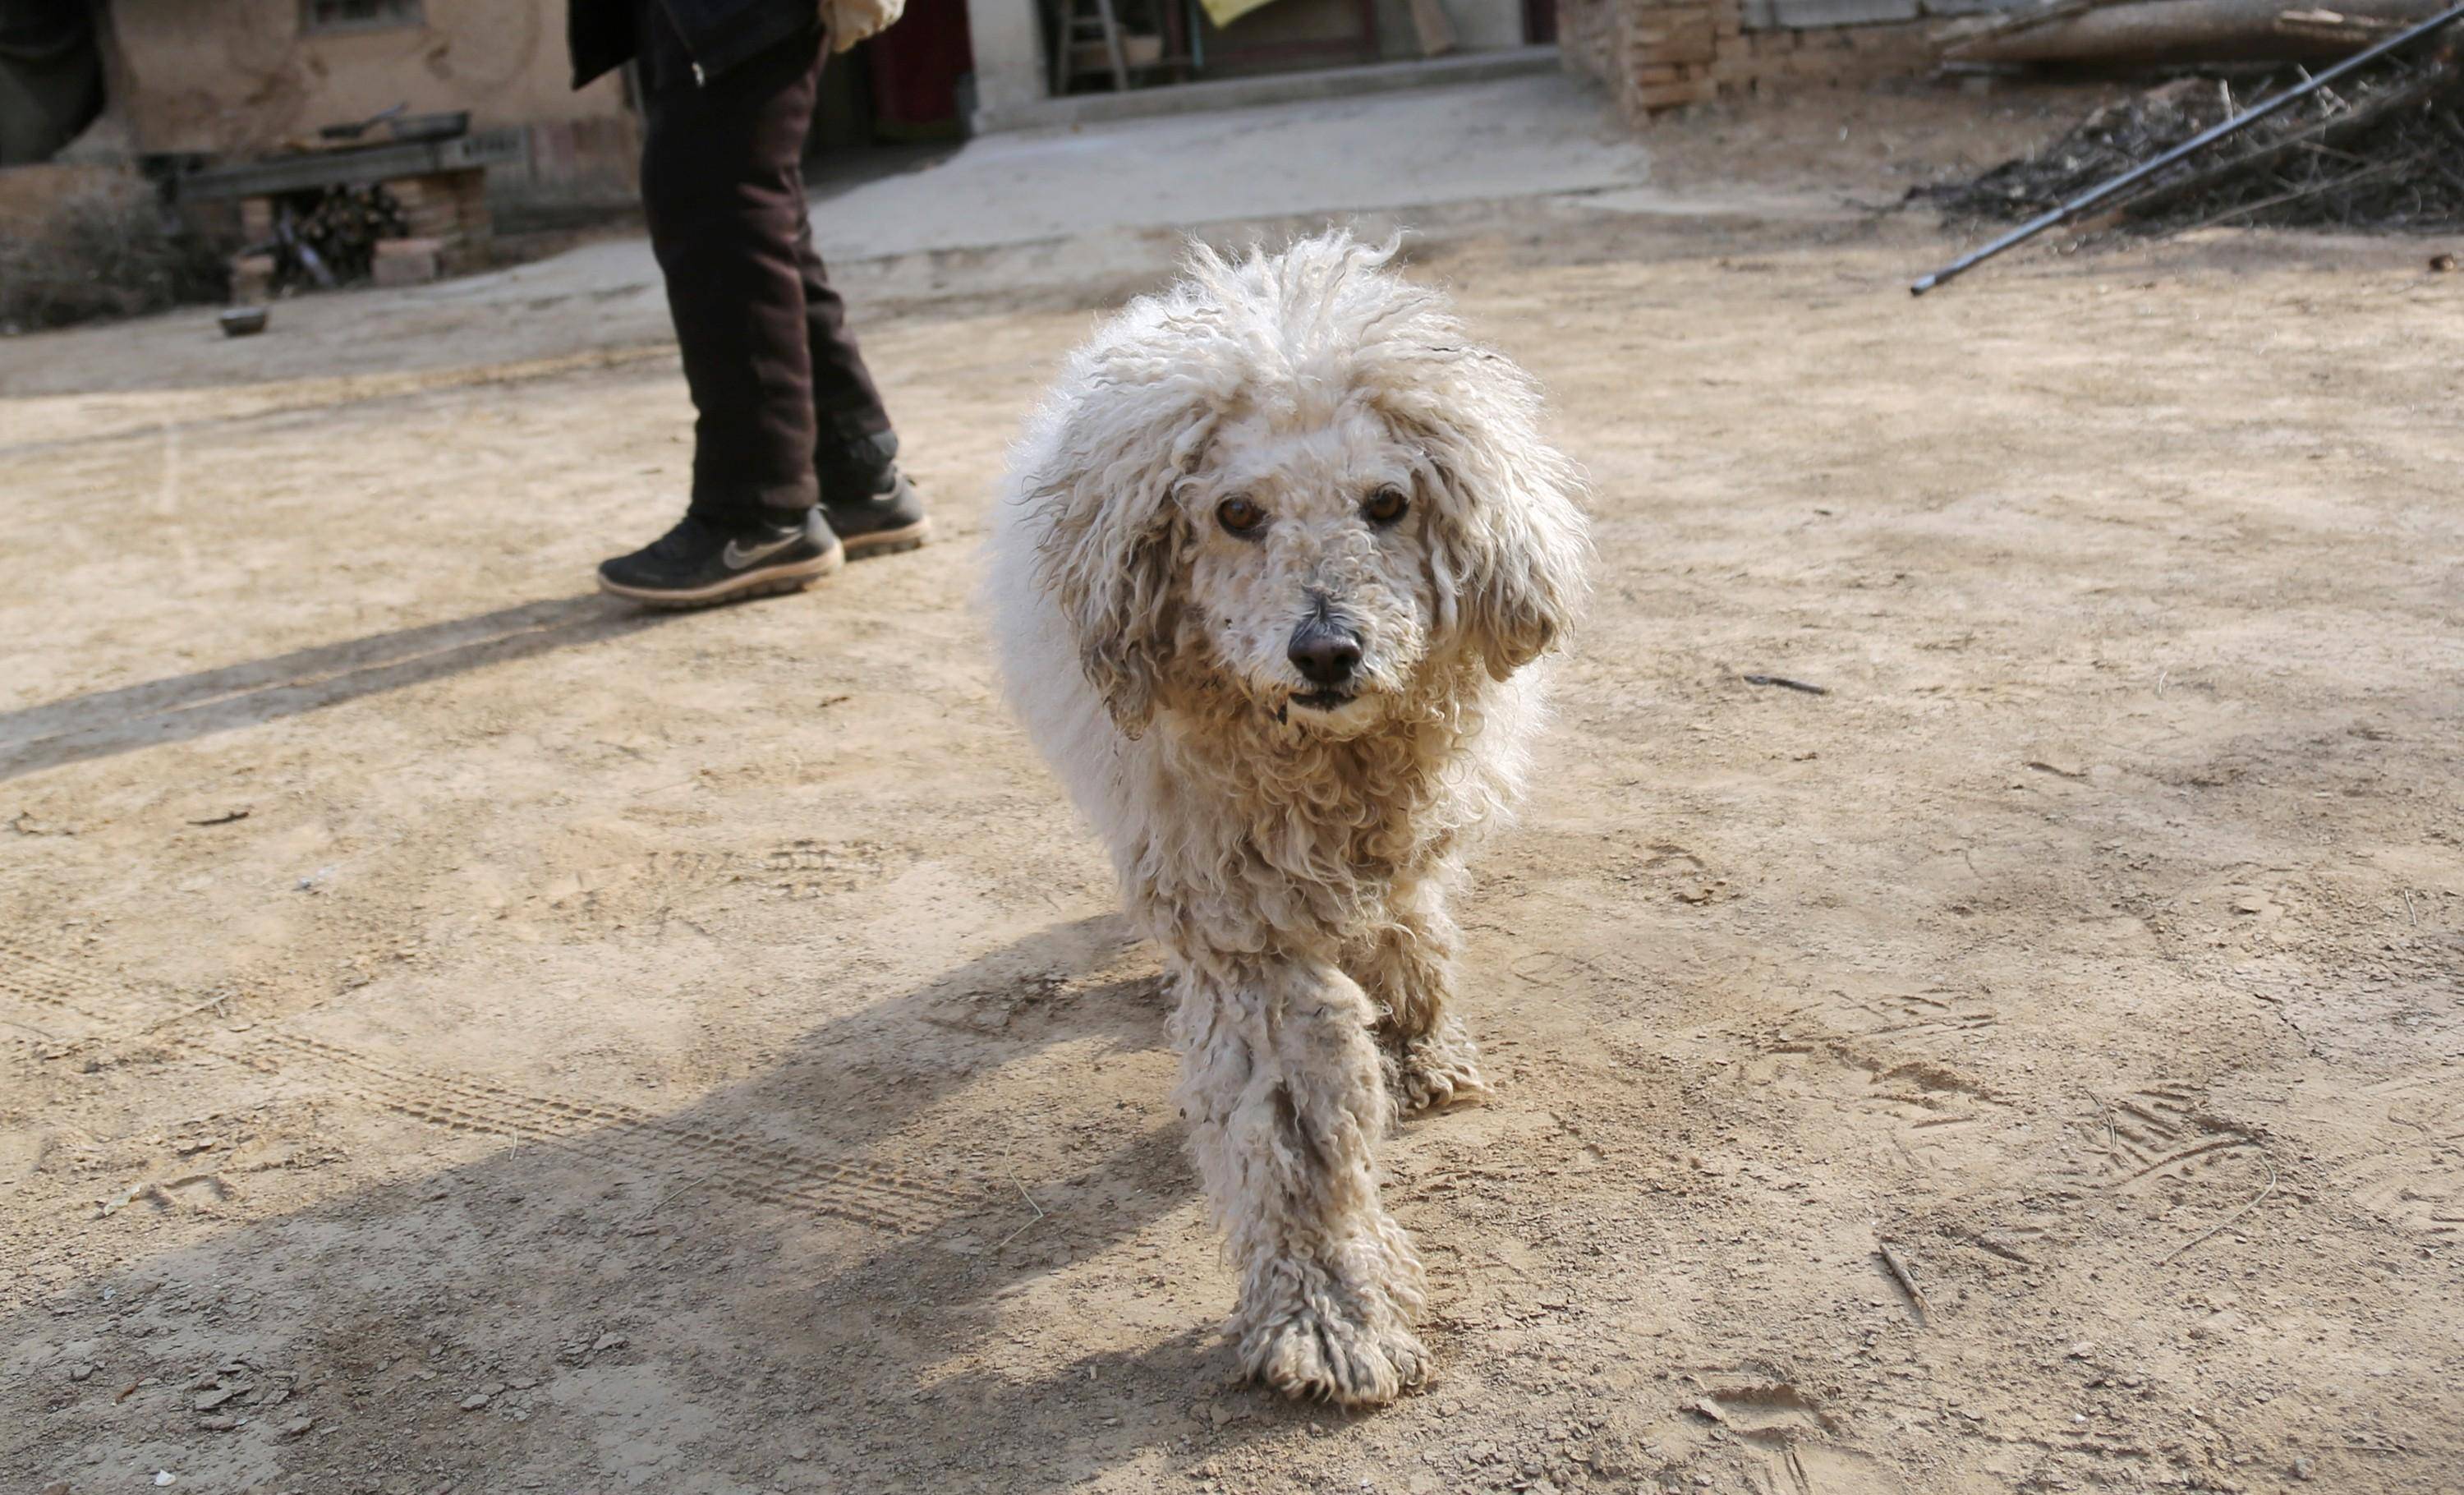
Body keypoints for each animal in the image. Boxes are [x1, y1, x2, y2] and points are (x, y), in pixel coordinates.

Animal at [986, 231, 1597, 1399]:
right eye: (1235, 513)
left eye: (1387, 502)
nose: (1326, 651)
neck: (1324, 762)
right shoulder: (1243, 923)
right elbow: (1296, 1132)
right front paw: (1329, 1311)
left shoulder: (1400, 817)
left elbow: (1406, 917)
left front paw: (1417, 1033)